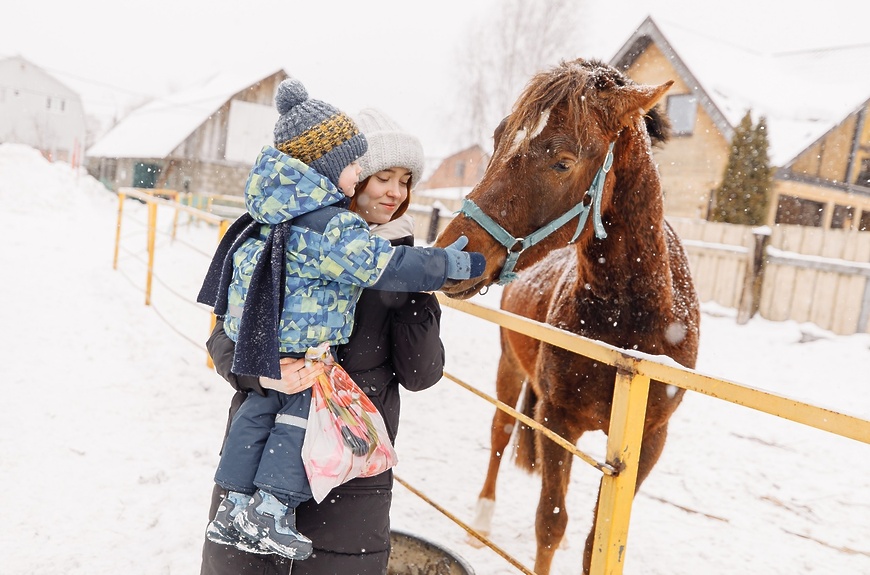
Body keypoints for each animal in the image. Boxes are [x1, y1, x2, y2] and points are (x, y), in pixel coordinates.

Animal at [436, 57, 700, 572]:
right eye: (499, 138)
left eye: (562, 161)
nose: (450, 249)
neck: (625, 327)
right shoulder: (557, 421)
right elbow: (550, 524)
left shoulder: (649, 442)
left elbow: (596, 540)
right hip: (509, 367)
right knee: (499, 433)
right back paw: (481, 519)